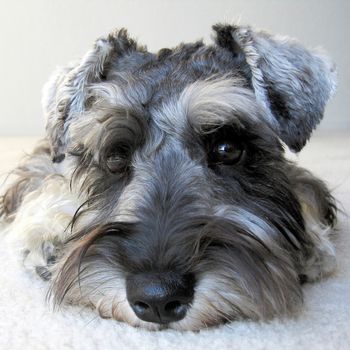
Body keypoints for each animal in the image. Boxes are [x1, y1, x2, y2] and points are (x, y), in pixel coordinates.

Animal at [0, 24, 340, 330]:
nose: (157, 298)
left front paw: (313, 245)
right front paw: (48, 233)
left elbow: (307, 193)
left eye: (228, 148)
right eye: (115, 158)